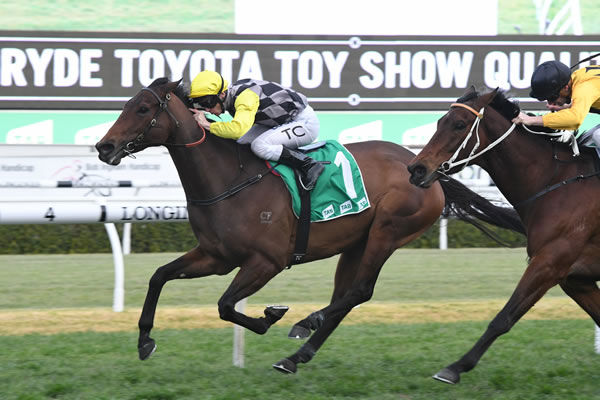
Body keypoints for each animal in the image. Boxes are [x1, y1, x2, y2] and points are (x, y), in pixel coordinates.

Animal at [96, 79, 524, 376]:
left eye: (143, 108)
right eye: (127, 105)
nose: (104, 147)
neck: (229, 179)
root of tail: (427, 172)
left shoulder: (266, 261)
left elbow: (225, 305)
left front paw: (271, 315)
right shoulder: (216, 256)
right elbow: (159, 276)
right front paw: (144, 341)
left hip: (388, 232)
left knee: (359, 291)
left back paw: (303, 330)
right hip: (356, 241)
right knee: (346, 295)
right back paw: (300, 347)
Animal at [408, 86, 600, 384]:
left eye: (459, 124)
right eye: (440, 122)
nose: (416, 169)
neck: (558, 182)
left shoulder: (550, 263)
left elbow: (503, 317)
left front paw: (455, 368)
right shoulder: (576, 278)